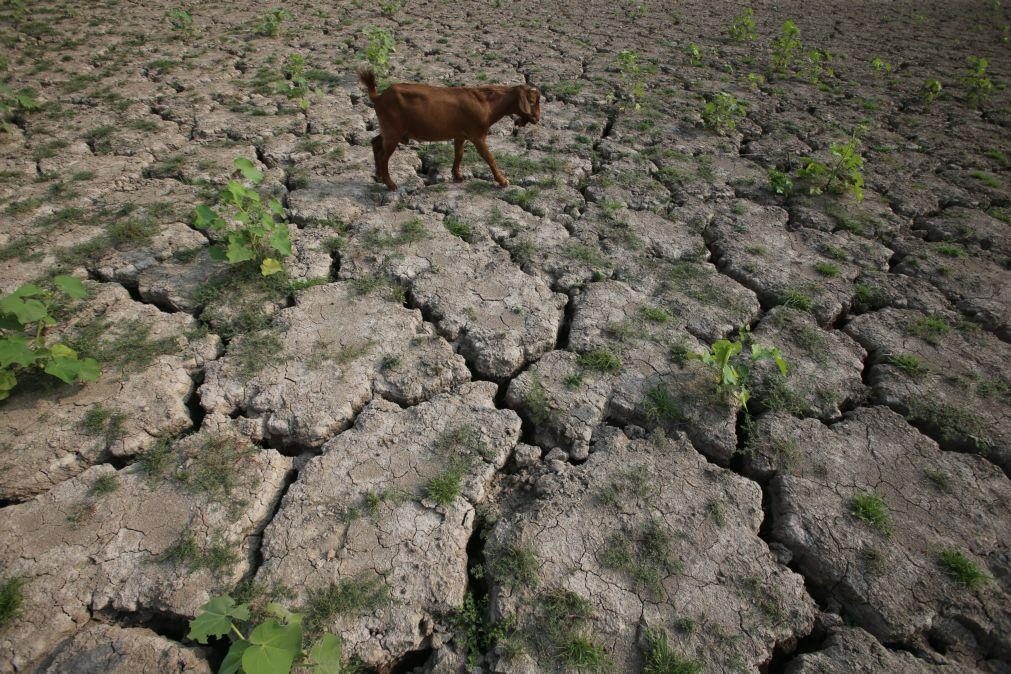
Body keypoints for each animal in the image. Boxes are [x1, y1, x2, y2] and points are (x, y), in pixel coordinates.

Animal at [359, 67, 541, 189]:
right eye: (532, 101)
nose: (537, 118)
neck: (487, 103)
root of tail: (379, 97)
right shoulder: (478, 135)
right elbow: (489, 157)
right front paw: (502, 180)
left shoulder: (460, 135)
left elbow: (459, 154)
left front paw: (457, 176)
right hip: (393, 131)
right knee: (383, 156)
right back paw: (390, 184)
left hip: (389, 130)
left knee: (375, 142)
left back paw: (378, 175)